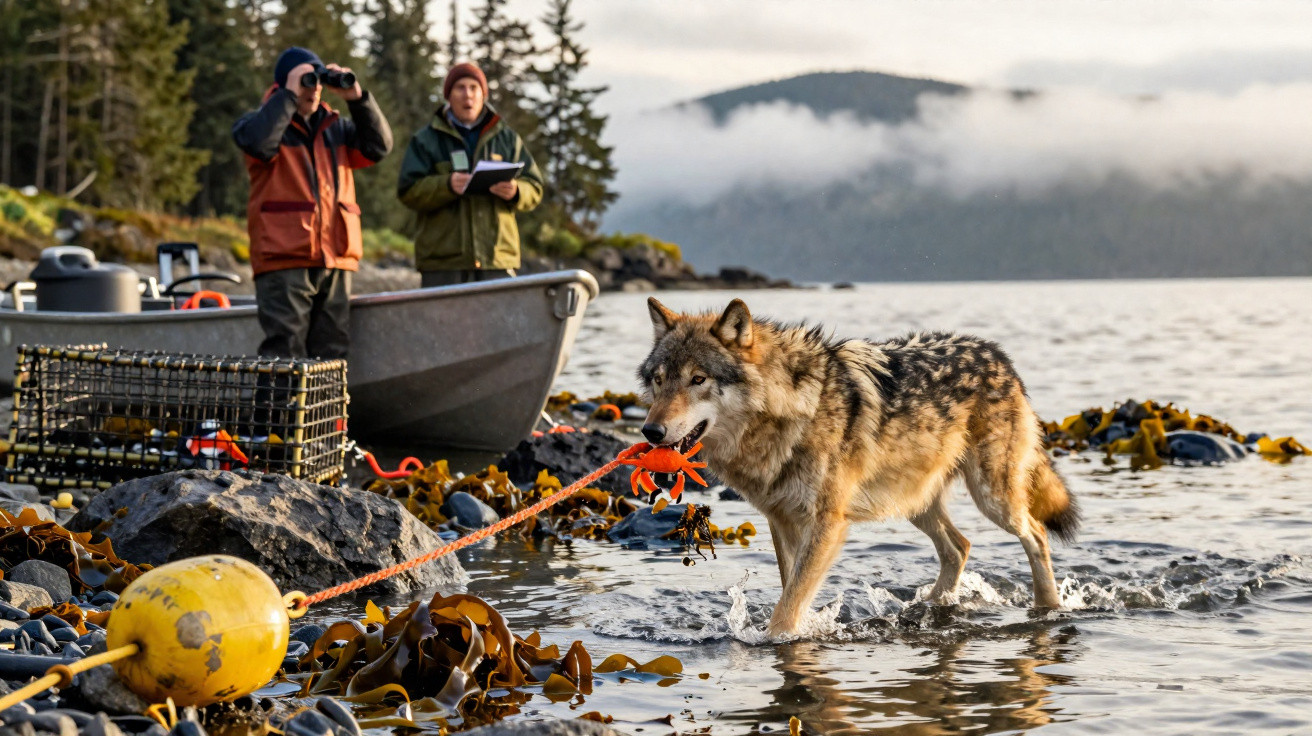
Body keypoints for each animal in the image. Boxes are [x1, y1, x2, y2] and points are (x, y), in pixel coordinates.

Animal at [638, 297, 1080, 637]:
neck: (794, 411)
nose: (651, 431)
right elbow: (790, 589)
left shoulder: (827, 523)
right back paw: (926, 606)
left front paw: (777, 639)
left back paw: (1048, 606)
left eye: (698, 379)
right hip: (914, 502)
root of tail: (999, 355)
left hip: (992, 499)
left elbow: (788, 606)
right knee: (959, 547)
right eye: (659, 380)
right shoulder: (782, 521)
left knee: (1036, 534)